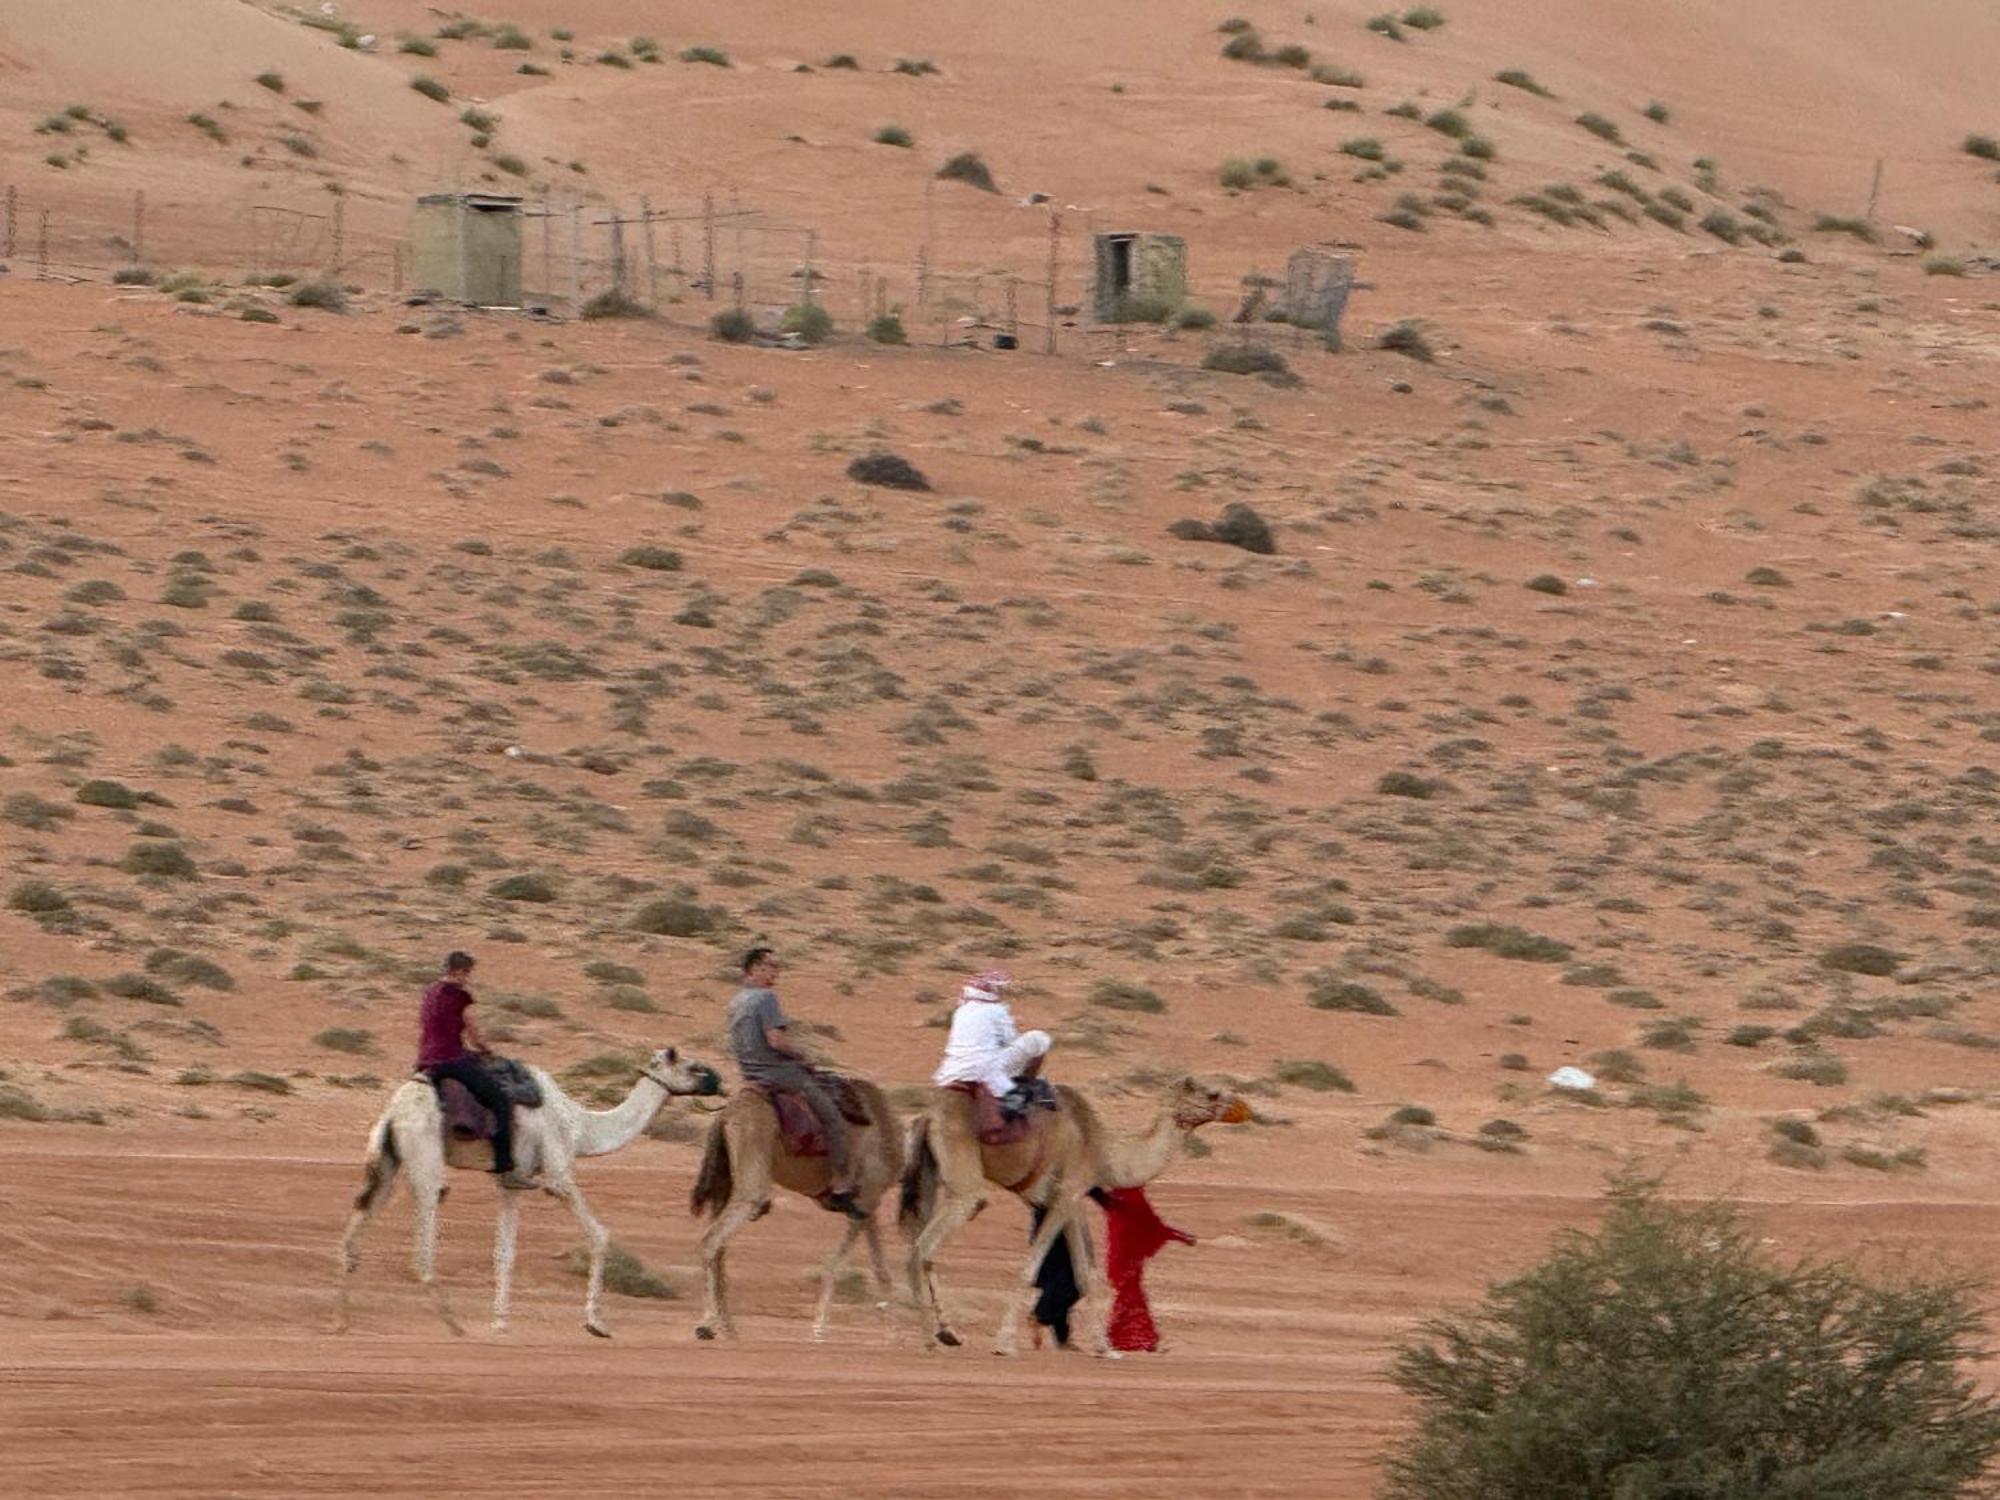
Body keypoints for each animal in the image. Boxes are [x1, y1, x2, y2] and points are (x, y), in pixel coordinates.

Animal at [334, 1048, 720, 1344]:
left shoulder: (509, 1182)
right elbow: (599, 1234)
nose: (717, 1080)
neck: (580, 1127)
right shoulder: (559, 1175)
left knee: (353, 1236)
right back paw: (453, 1324)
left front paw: (501, 1322)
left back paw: (342, 1322)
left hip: (384, 1161)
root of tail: (392, 1114)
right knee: (424, 1242)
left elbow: (504, 1252)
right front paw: (596, 1323)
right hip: (424, 1153)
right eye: (690, 1066)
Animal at [688, 1080, 908, 1336]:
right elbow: (855, 1263)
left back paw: (729, 1328)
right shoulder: (867, 1197)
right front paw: (820, 1325)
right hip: (751, 1174)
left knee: (720, 1244)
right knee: (712, 1239)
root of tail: (726, 1115)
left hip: (725, 1179)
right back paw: (706, 1324)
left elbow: (879, 1265)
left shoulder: (866, 1203)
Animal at [904, 1080, 1248, 1360]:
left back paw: (948, 1333)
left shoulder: (1069, 1202)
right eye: (1211, 1093)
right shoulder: (1065, 1192)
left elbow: (1084, 1273)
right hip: (965, 1182)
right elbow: (1031, 1268)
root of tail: (928, 1118)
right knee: (924, 1246)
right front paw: (1004, 1343)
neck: (1103, 1150)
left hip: (932, 1173)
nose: (1243, 1109)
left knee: (923, 1244)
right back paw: (930, 1338)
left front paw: (1104, 1347)